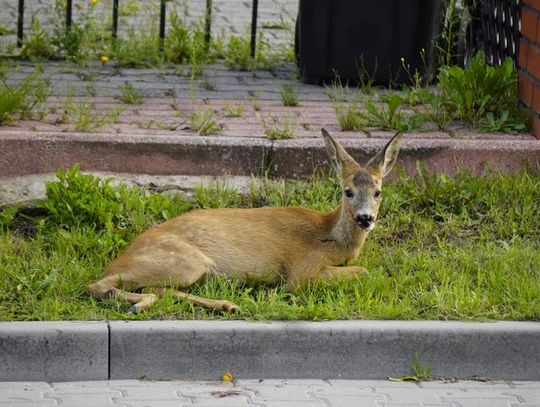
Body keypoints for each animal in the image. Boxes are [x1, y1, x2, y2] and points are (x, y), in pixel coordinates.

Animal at [87, 129, 400, 314]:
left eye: (378, 191)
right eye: (348, 191)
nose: (365, 218)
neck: (330, 238)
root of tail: (119, 257)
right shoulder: (301, 270)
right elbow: (363, 271)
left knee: (155, 288)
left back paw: (226, 306)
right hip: (184, 262)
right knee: (97, 285)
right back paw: (138, 305)